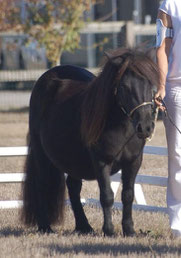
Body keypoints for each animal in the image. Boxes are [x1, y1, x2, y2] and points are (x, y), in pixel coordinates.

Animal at [22, 47, 160, 236]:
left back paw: (84, 226)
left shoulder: (133, 162)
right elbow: (107, 196)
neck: (121, 127)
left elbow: (127, 195)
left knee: (73, 187)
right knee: (42, 184)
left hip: (72, 158)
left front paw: (129, 230)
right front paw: (109, 231)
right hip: (41, 153)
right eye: (124, 86)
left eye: (151, 85)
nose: (145, 127)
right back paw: (45, 227)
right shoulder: (101, 161)